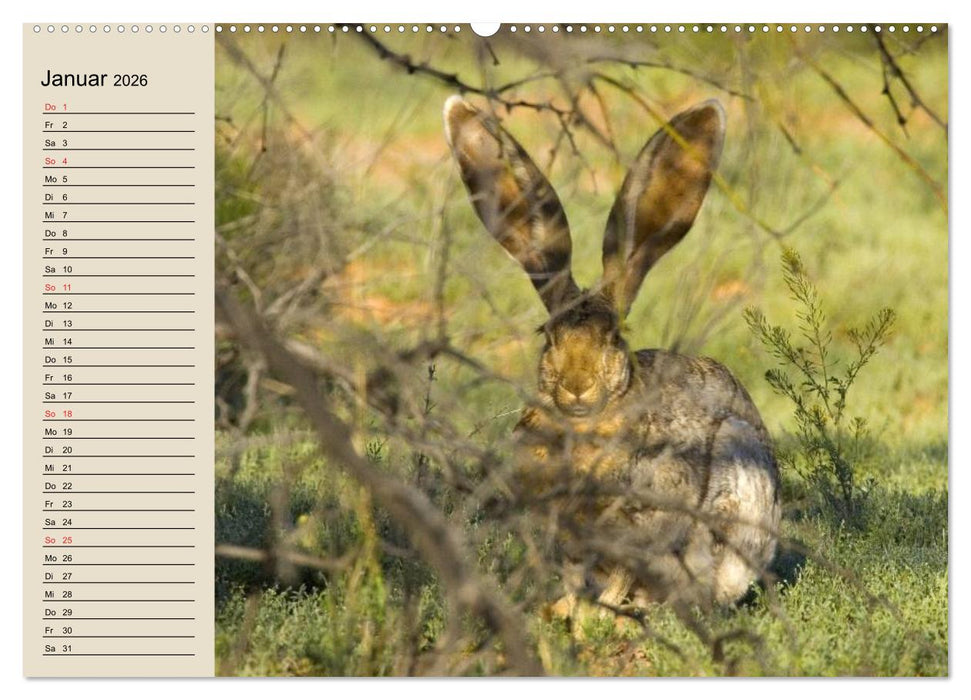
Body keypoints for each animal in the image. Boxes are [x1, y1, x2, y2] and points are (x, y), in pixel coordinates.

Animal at [443, 95, 781, 611]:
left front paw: (594, 616)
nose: (577, 388)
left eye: (614, 337)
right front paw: (562, 611)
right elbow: (571, 574)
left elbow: (624, 571)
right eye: (548, 336)